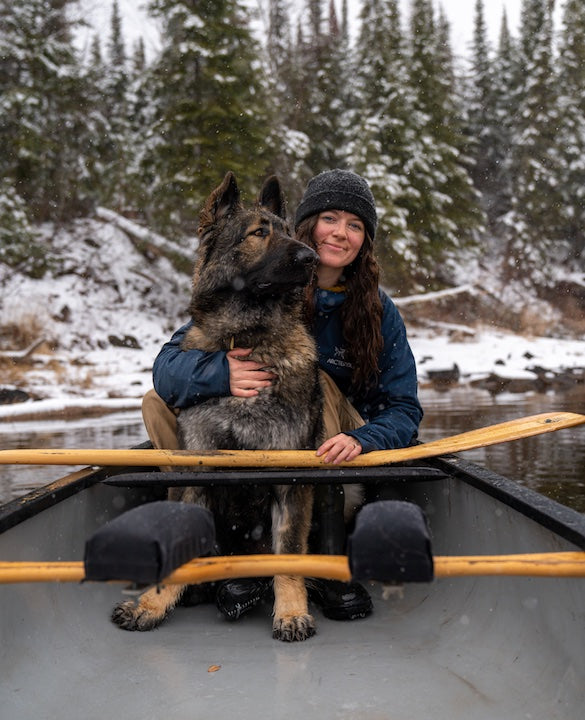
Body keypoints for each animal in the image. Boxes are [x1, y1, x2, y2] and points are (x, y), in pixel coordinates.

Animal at [112, 173, 322, 640]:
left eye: (288, 230)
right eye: (259, 232)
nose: (312, 257)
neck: (247, 337)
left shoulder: (291, 480)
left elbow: (289, 554)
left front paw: (291, 611)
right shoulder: (196, 473)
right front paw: (151, 604)